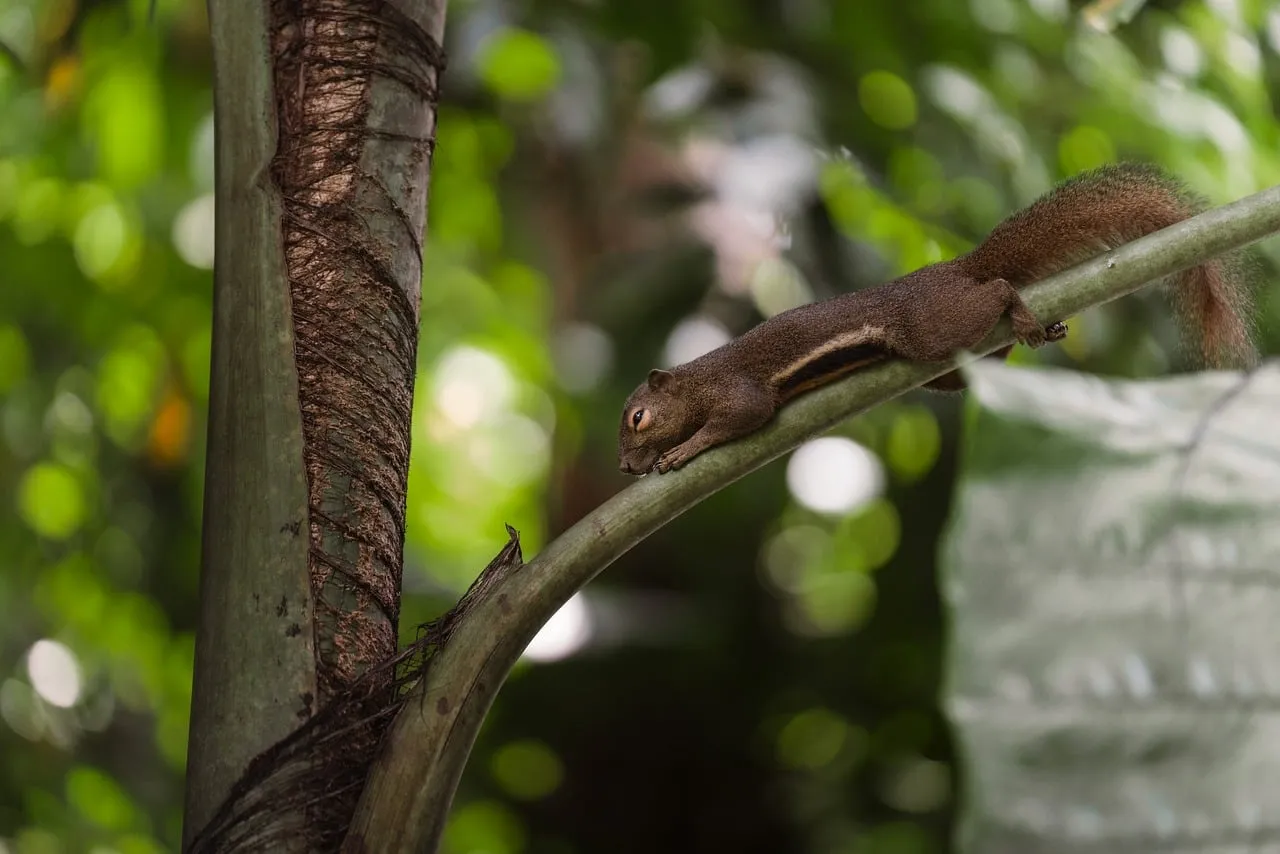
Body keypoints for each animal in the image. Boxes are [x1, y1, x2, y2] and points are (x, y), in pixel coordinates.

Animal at [617, 162, 1257, 476]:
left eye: (639, 418)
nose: (624, 467)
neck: (696, 382)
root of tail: (956, 268)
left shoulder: (737, 390)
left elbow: (744, 416)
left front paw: (684, 450)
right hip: (947, 358)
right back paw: (1037, 332)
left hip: (933, 326)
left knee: (996, 288)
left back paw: (1018, 307)